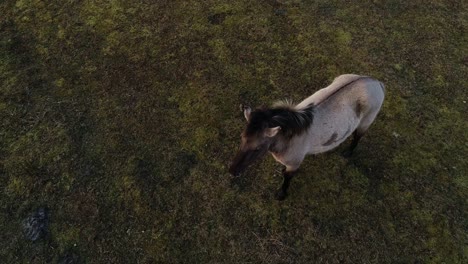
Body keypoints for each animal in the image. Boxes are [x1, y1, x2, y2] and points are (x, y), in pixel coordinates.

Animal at [229, 73, 386, 200]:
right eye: (242, 138)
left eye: (257, 148)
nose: (232, 171)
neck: (289, 135)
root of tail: (377, 82)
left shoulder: (294, 162)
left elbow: (287, 177)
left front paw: (281, 194)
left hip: (366, 121)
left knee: (357, 137)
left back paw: (348, 153)